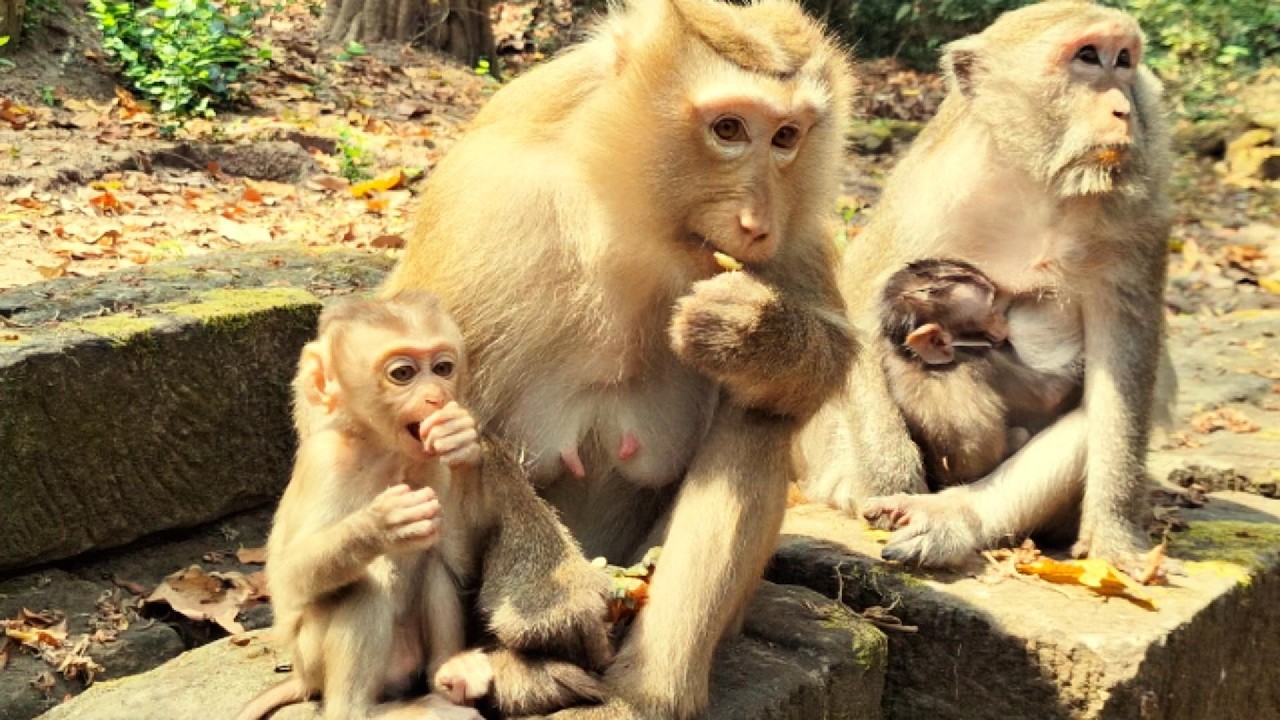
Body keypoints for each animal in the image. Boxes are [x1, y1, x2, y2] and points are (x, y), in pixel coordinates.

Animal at [236, 292, 612, 720]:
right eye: (404, 373)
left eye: (443, 368)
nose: (438, 396)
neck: (383, 452)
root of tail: (301, 677)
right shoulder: (324, 461)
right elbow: (289, 577)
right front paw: (379, 524)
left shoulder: (436, 468)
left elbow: (460, 561)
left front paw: (465, 445)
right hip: (311, 659)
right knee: (365, 583)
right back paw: (362, 709)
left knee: (433, 564)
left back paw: (449, 678)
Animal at [380, 0, 856, 716]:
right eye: (728, 129)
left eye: (786, 138)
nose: (757, 223)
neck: (628, 218)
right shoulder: (487, 199)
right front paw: (548, 591)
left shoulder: (795, 230)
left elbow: (828, 355)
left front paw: (754, 333)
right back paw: (516, 668)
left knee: (759, 417)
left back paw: (649, 692)